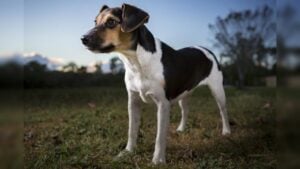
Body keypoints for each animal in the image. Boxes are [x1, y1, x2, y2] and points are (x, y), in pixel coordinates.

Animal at [81, 3, 231, 165]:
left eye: (111, 22)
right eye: (95, 22)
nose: (83, 38)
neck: (137, 62)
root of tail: (207, 50)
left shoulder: (163, 104)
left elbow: (160, 137)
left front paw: (158, 160)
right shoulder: (133, 101)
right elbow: (132, 130)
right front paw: (127, 152)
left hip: (217, 90)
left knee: (223, 111)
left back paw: (226, 131)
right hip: (184, 93)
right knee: (185, 110)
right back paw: (181, 129)